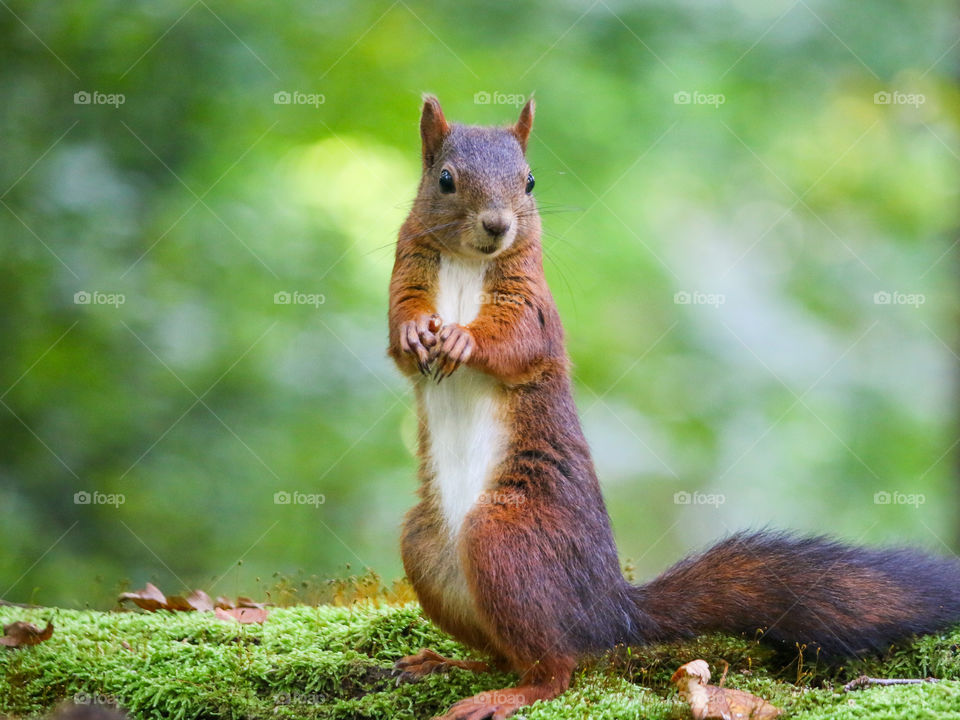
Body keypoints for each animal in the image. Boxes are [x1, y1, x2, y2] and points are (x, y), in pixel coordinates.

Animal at [386, 97, 960, 720]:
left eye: (530, 181)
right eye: (445, 178)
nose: (497, 225)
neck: (468, 263)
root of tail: (608, 611)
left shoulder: (533, 302)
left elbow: (516, 343)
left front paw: (463, 340)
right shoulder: (406, 271)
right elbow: (398, 335)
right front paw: (419, 332)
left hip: (504, 537)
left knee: (555, 667)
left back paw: (502, 693)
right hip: (425, 547)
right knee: (506, 652)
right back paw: (448, 663)